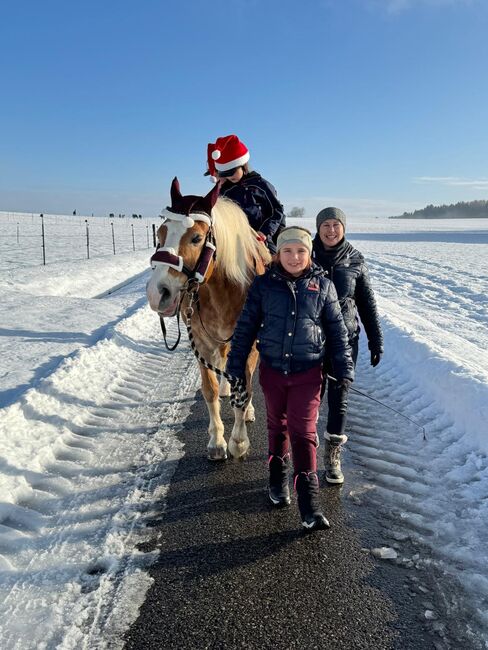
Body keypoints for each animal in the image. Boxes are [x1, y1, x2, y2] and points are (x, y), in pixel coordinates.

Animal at [147, 177, 272, 458]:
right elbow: (209, 390)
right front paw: (217, 440)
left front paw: (238, 441)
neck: (220, 290)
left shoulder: (248, 342)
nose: (157, 293)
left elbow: (246, 388)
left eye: (196, 238)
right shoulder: (201, 342)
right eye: (160, 234)